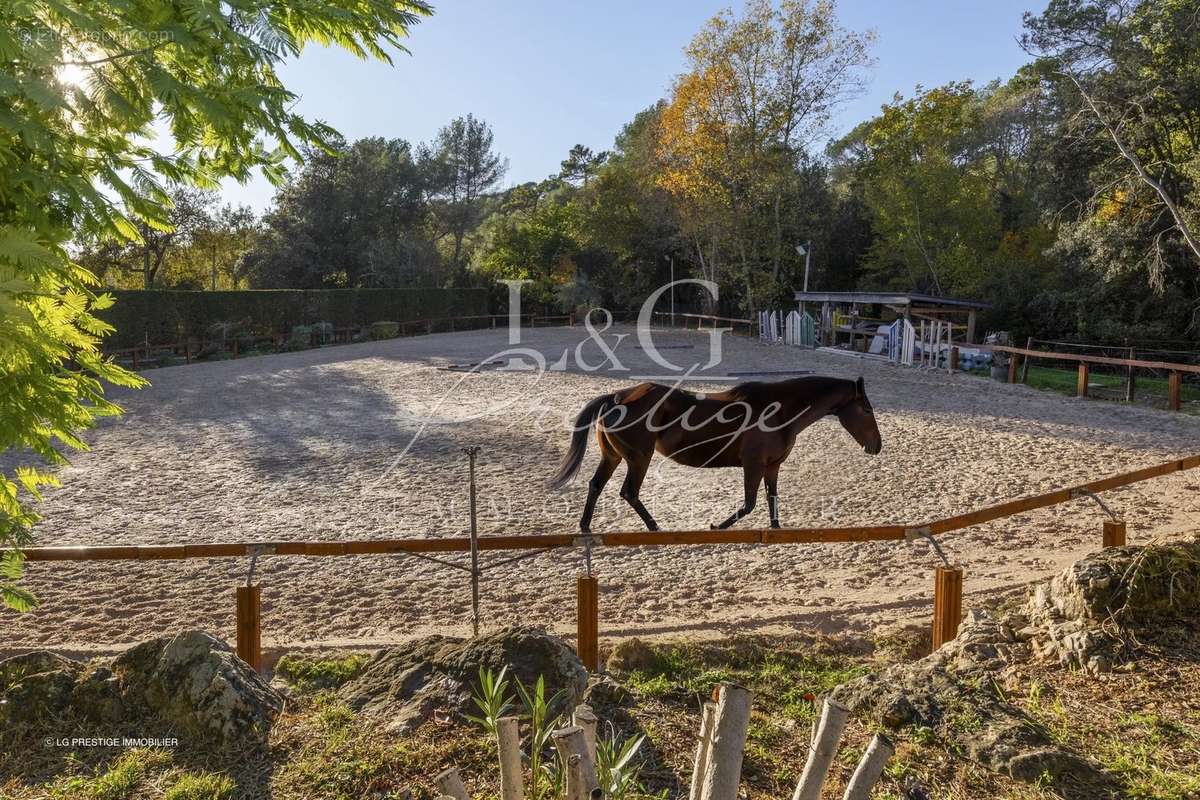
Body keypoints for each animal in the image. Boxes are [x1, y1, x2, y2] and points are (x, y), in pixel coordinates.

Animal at [549, 379, 883, 534]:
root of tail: (617, 397)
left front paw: (776, 529)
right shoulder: (753, 466)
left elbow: (772, 499)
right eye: (867, 409)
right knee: (629, 492)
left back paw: (585, 526)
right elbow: (749, 504)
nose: (877, 446)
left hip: (613, 457)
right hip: (639, 458)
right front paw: (717, 527)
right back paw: (654, 527)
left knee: (596, 485)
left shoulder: (772, 467)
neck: (779, 411)